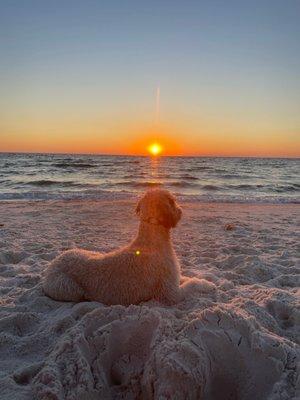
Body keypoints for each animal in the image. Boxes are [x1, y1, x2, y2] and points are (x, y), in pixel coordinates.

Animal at [43, 189, 182, 304]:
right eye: (172, 201)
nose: (180, 211)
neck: (152, 236)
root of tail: (53, 263)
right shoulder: (169, 292)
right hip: (67, 286)